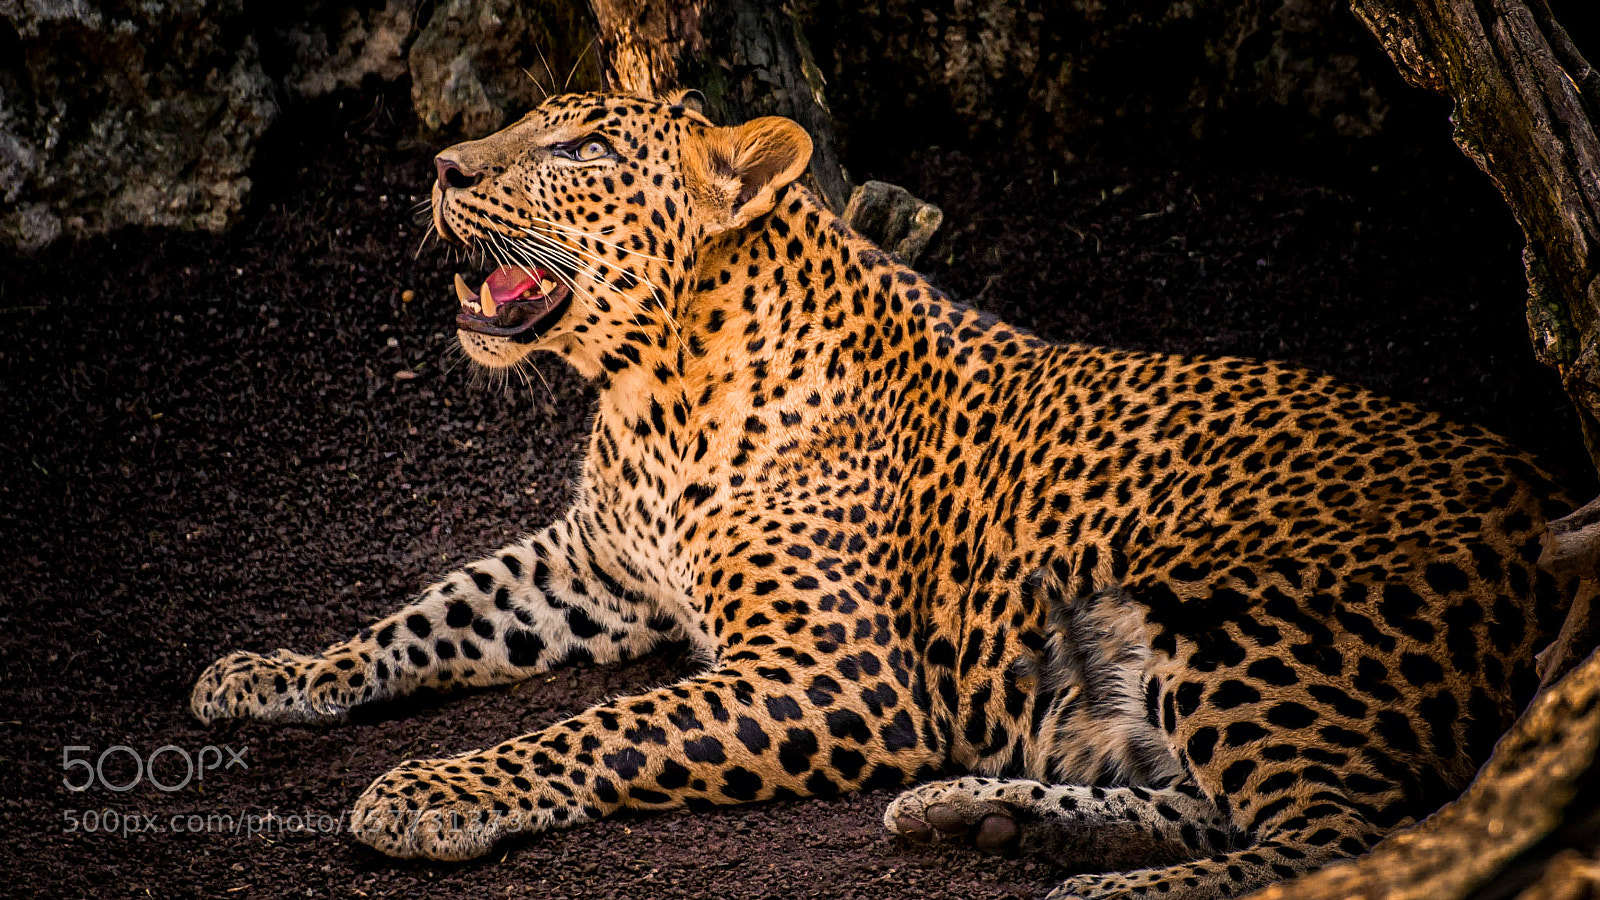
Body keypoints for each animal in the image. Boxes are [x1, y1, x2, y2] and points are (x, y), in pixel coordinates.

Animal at [190, 89, 1574, 899]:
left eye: (580, 146)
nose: (439, 166)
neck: (651, 392)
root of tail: (1547, 502)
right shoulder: (588, 572)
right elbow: (425, 614)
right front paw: (276, 673)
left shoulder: (837, 672)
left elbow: (599, 727)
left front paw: (434, 791)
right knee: (1212, 805)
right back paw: (993, 821)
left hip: (1242, 626)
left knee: (1347, 833)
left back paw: (1090, 883)